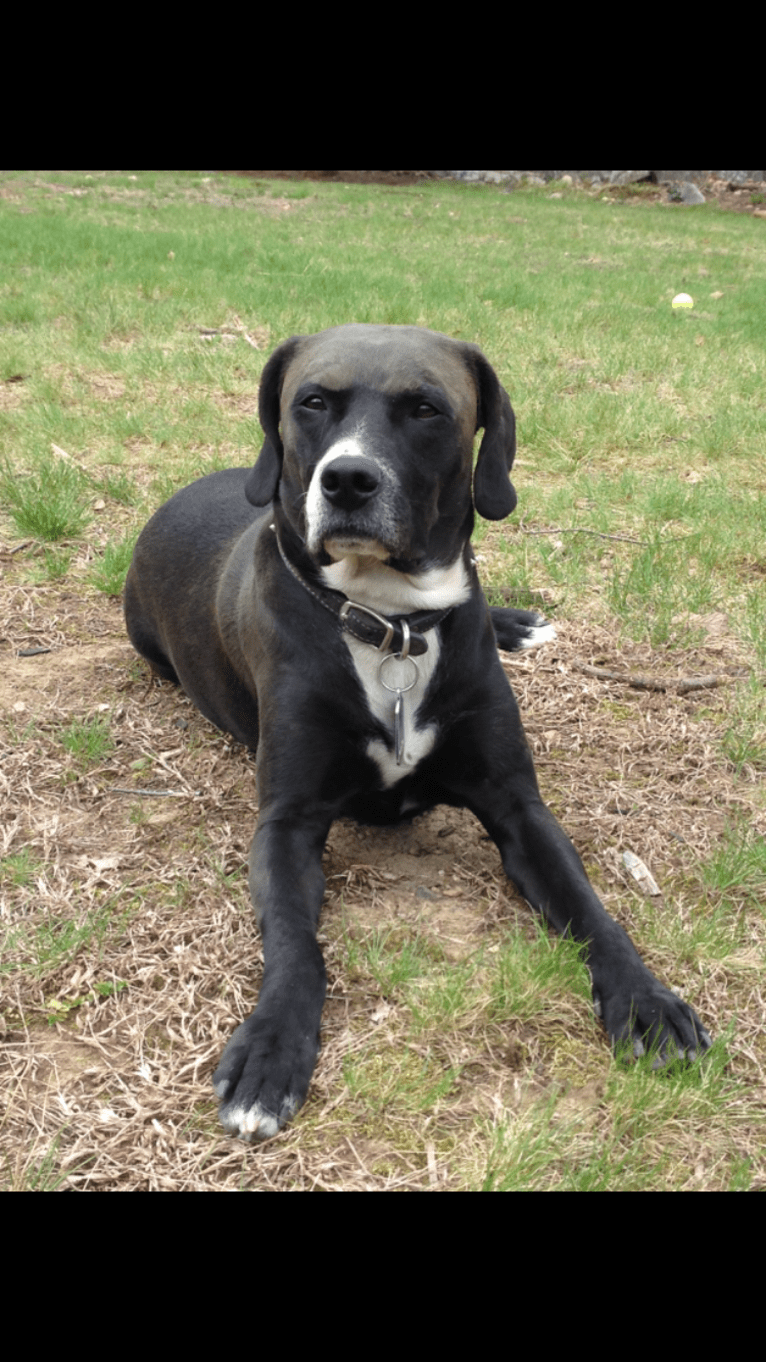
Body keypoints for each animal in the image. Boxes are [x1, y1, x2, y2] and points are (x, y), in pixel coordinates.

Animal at [124, 324, 708, 1144]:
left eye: (426, 409)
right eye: (312, 402)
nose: (346, 480)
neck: (389, 622)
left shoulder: (518, 807)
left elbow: (593, 909)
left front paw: (647, 1001)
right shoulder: (285, 822)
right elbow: (295, 944)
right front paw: (269, 1051)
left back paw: (515, 623)